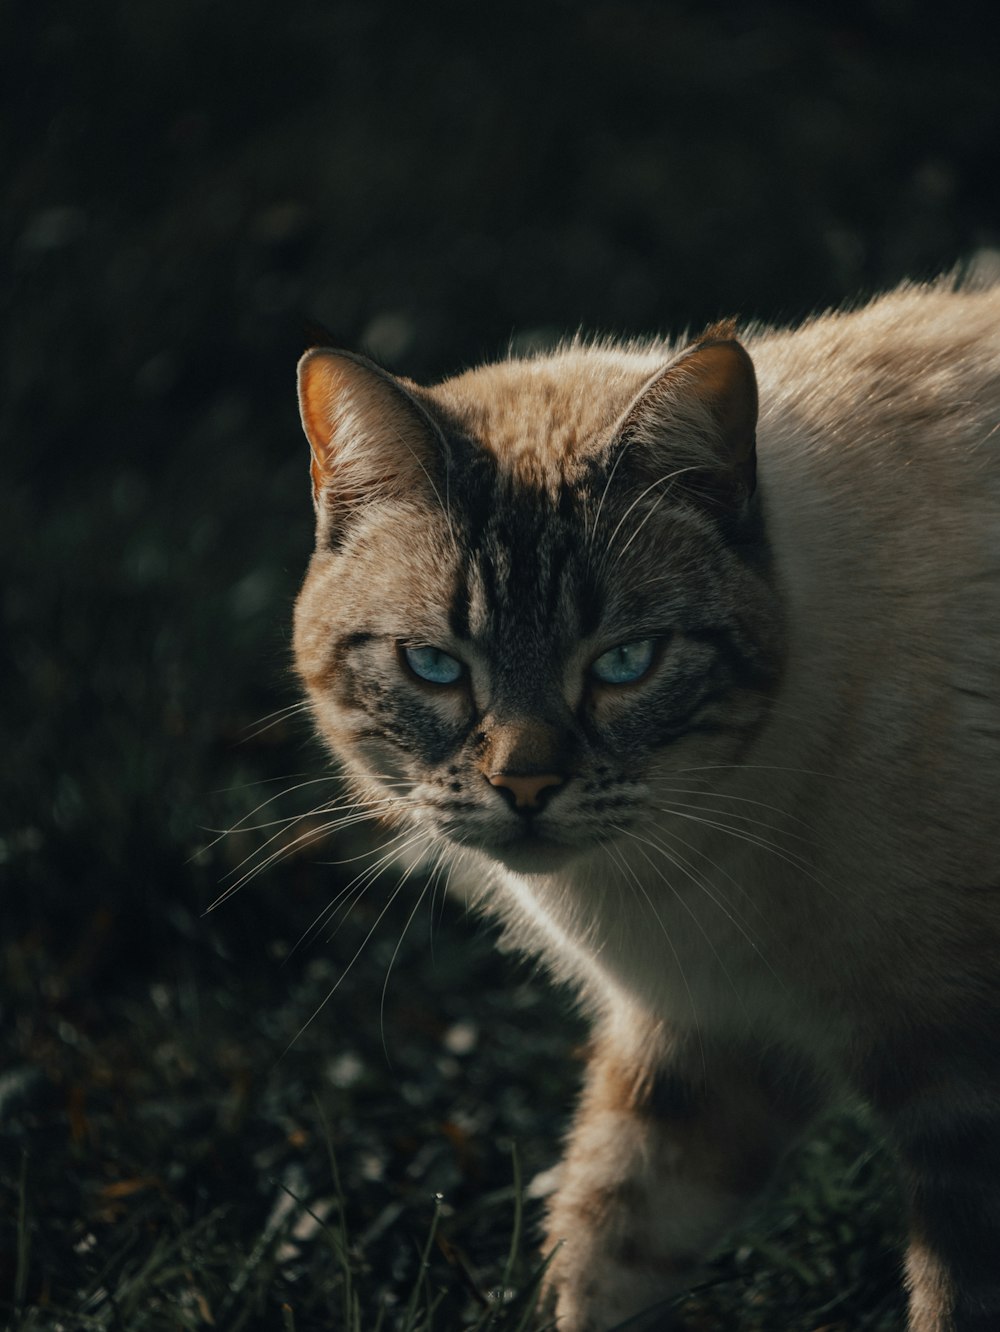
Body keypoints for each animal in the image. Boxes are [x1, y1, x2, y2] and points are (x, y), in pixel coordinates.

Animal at [288, 275, 1000, 1326]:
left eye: (625, 664)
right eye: (435, 667)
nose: (525, 785)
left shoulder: (962, 1096)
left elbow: (952, 1302)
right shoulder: (700, 1047)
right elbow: (607, 1248)